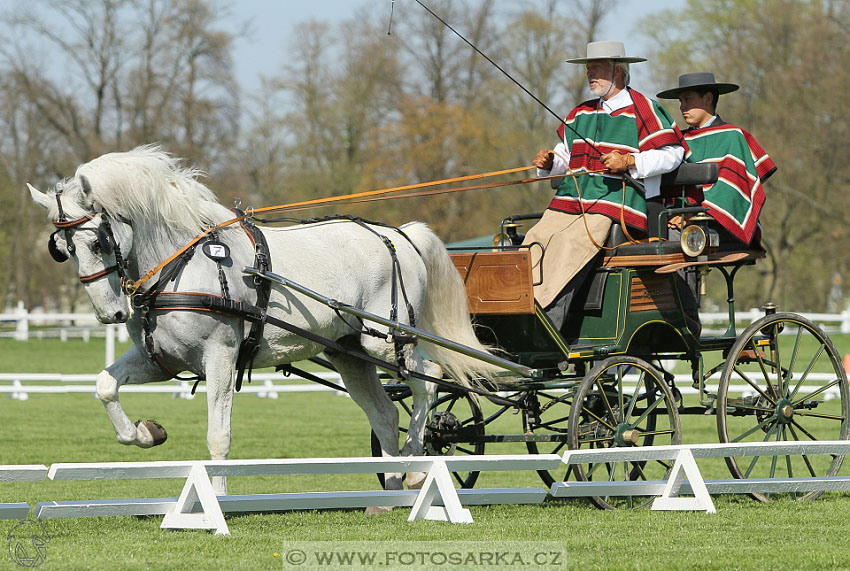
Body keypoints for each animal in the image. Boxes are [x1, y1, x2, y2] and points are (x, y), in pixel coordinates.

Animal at [31, 144, 496, 496]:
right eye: (62, 248)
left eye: (98, 240)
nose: (109, 313)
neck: (181, 263)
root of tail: (398, 234)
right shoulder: (159, 360)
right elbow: (106, 386)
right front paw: (146, 433)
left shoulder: (220, 357)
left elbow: (218, 436)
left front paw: (216, 499)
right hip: (350, 353)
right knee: (384, 415)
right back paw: (391, 491)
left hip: (387, 340)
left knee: (428, 381)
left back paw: (418, 465)